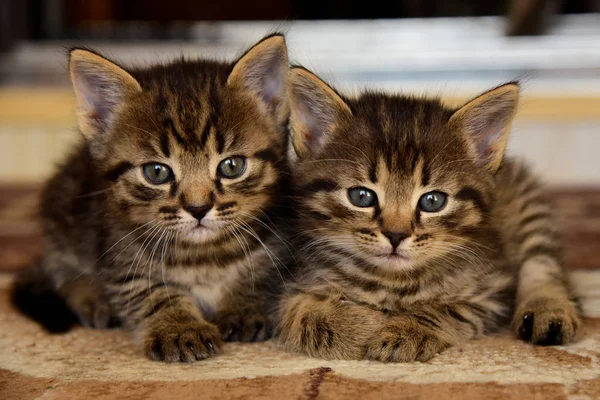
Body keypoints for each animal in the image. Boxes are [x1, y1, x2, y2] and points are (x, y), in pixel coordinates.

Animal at [11, 35, 288, 362]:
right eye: (156, 172)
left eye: (232, 166)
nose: (198, 208)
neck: (203, 256)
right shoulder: (122, 258)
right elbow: (153, 294)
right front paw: (180, 329)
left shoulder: (277, 244)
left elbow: (260, 276)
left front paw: (244, 307)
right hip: (64, 212)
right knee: (61, 270)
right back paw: (92, 297)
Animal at [278, 68, 584, 362]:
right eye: (361, 196)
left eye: (433, 201)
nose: (396, 235)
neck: (394, 283)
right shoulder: (296, 281)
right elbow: (297, 311)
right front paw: (357, 326)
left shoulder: (492, 292)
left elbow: (450, 310)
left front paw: (407, 329)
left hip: (531, 210)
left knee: (543, 267)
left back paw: (548, 312)